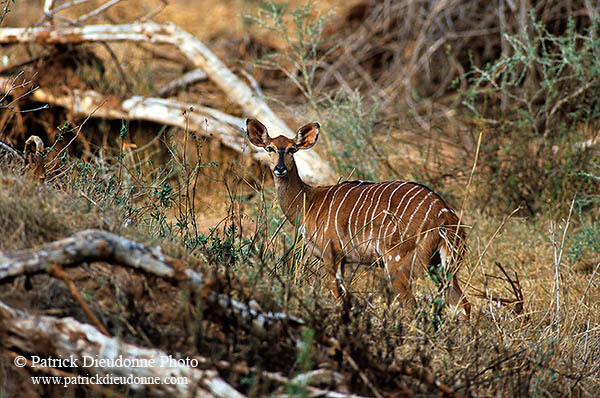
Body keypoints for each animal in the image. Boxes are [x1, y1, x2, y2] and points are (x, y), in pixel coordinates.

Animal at [246, 117, 472, 318]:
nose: (280, 169)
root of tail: (445, 216)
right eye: (270, 148)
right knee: (463, 305)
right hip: (442, 264)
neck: (309, 202)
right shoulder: (343, 260)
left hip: (399, 261)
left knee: (412, 306)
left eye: (292, 149)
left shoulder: (331, 254)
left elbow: (338, 298)